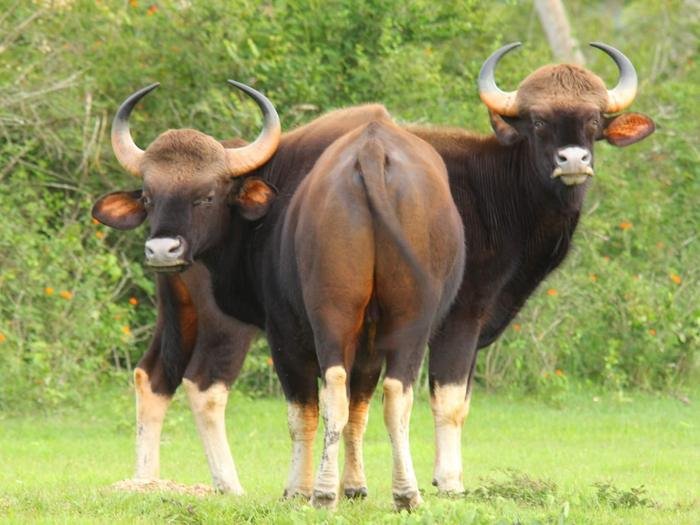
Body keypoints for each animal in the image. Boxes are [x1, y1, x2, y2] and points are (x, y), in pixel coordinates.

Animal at [92, 81, 397, 494]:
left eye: (206, 195)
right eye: (149, 197)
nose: (162, 248)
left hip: (176, 309)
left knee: (152, 375)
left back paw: (146, 481)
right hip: (223, 322)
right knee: (203, 385)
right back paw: (229, 485)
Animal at [335, 42, 656, 496]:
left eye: (593, 120)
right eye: (538, 121)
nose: (573, 160)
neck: (501, 193)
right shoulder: (460, 317)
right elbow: (448, 401)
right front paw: (449, 481)